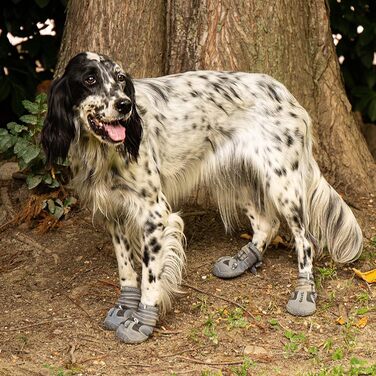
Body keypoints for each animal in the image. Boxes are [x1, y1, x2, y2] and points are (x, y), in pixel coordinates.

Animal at [40, 52, 362, 344]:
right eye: (90, 79)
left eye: (120, 79)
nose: (124, 105)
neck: (103, 152)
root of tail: (285, 92)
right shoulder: (114, 214)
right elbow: (126, 269)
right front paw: (123, 307)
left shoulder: (155, 214)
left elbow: (150, 275)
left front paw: (142, 319)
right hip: (236, 175)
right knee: (266, 224)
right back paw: (240, 262)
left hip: (283, 183)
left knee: (305, 240)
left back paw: (304, 292)